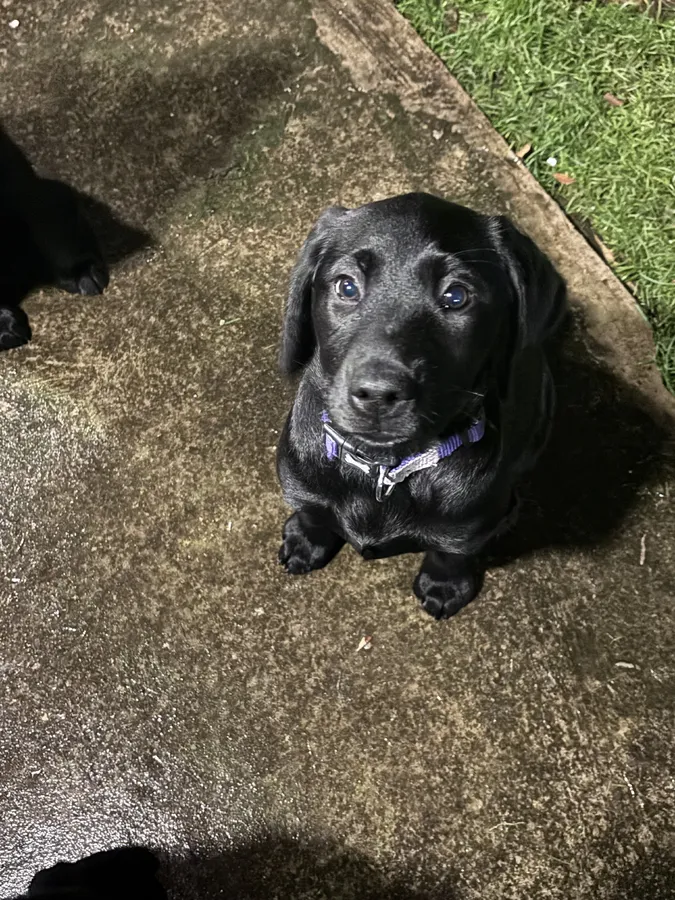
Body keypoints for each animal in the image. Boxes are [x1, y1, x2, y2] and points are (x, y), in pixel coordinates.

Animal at [276, 193, 567, 619]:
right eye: (346, 286)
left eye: (456, 296)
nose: (379, 394)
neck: (384, 469)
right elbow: (312, 511)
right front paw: (304, 538)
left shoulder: (467, 525)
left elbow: (451, 552)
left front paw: (446, 585)